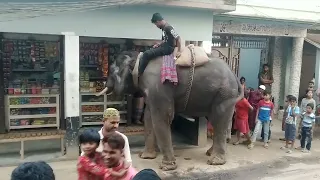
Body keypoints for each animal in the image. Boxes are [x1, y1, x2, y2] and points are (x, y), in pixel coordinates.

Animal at [96, 50, 241, 170]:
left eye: (112, 71)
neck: (139, 59)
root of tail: (234, 75)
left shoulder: (158, 86)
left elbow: (162, 117)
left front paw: (167, 167)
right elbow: (148, 117)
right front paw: (146, 157)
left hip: (224, 94)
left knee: (219, 120)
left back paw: (215, 161)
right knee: (216, 121)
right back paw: (210, 153)